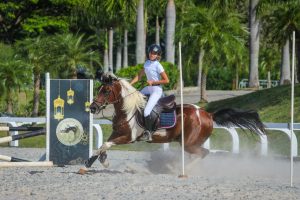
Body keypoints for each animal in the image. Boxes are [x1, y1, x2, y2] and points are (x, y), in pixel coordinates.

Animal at [78, 72, 264, 174]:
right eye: (99, 89)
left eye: (107, 91)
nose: (93, 107)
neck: (127, 109)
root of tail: (208, 114)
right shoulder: (116, 133)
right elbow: (101, 146)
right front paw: (90, 165)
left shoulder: (127, 138)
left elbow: (104, 145)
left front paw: (102, 162)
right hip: (186, 142)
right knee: (199, 154)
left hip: (189, 143)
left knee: (204, 153)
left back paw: (182, 170)